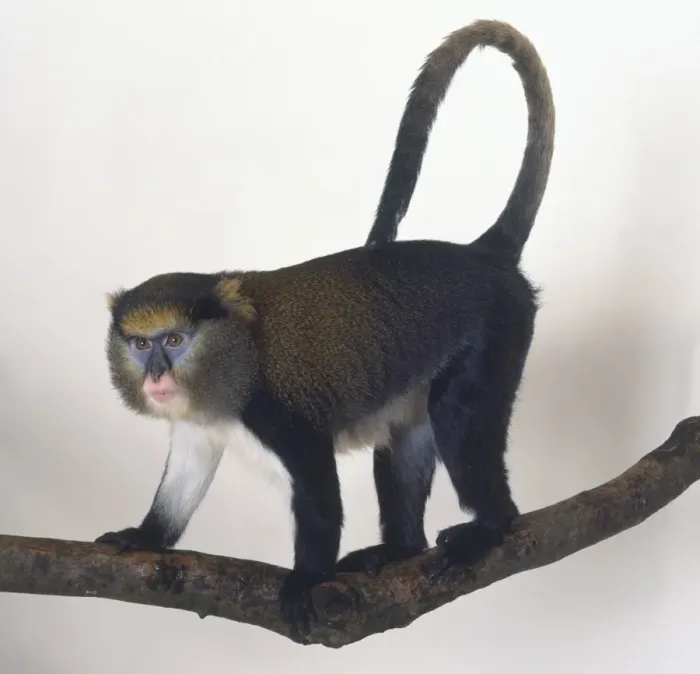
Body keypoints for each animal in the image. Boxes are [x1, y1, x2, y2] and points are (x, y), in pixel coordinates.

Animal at [94, 18, 555, 636]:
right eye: (141, 344)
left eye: (175, 340)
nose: (157, 375)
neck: (235, 354)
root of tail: (483, 254)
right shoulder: (196, 421)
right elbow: (187, 473)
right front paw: (144, 536)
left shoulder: (279, 411)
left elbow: (319, 493)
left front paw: (307, 580)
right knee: (406, 439)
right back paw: (400, 549)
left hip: (496, 334)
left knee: (458, 416)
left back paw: (488, 526)